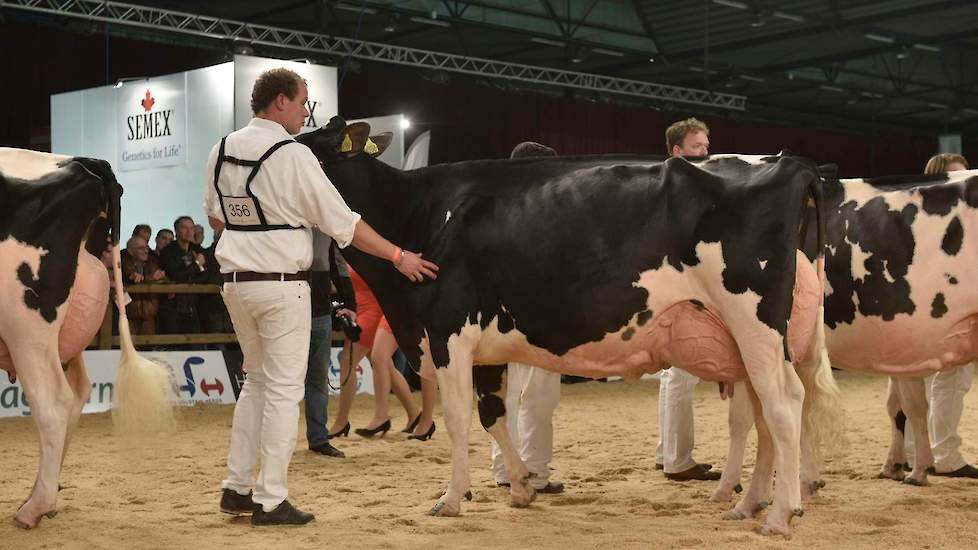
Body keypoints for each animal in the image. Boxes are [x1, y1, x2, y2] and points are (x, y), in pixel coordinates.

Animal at [300, 117, 840, 540]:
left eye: (305, 146)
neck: (421, 212)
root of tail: (789, 162)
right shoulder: (486, 348)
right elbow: (493, 415)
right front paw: (521, 487)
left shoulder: (449, 330)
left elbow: (457, 419)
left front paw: (452, 498)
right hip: (742, 339)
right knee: (761, 414)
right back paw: (747, 505)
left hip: (755, 322)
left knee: (784, 404)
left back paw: (779, 516)